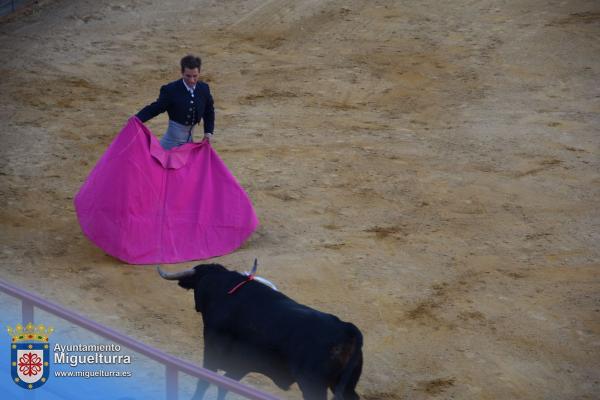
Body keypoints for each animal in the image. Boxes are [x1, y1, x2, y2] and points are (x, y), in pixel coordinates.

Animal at [158, 264, 360, 398]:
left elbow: (206, 380)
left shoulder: (213, 352)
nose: (196, 306)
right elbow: (224, 385)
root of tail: (346, 328)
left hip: (313, 386)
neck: (223, 290)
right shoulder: (240, 365)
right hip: (345, 386)